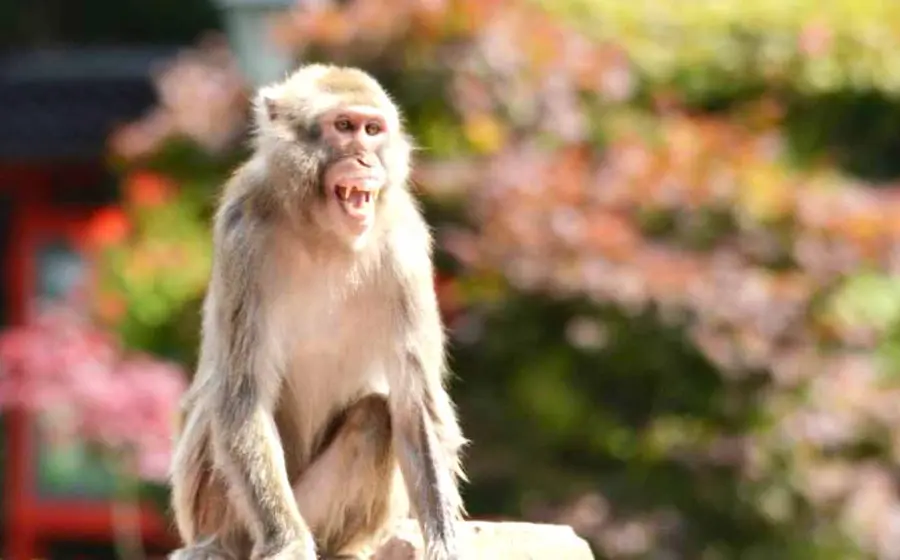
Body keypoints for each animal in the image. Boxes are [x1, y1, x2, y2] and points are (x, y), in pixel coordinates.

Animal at [167, 64, 467, 560]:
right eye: (343, 127)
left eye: (372, 130)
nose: (364, 159)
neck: (323, 234)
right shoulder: (242, 235)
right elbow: (243, 394)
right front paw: (287, 543)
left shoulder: (405, 248)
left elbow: (414, 403)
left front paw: (446, 539)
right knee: (219, 403)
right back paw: (219, 546)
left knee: (375, 416)